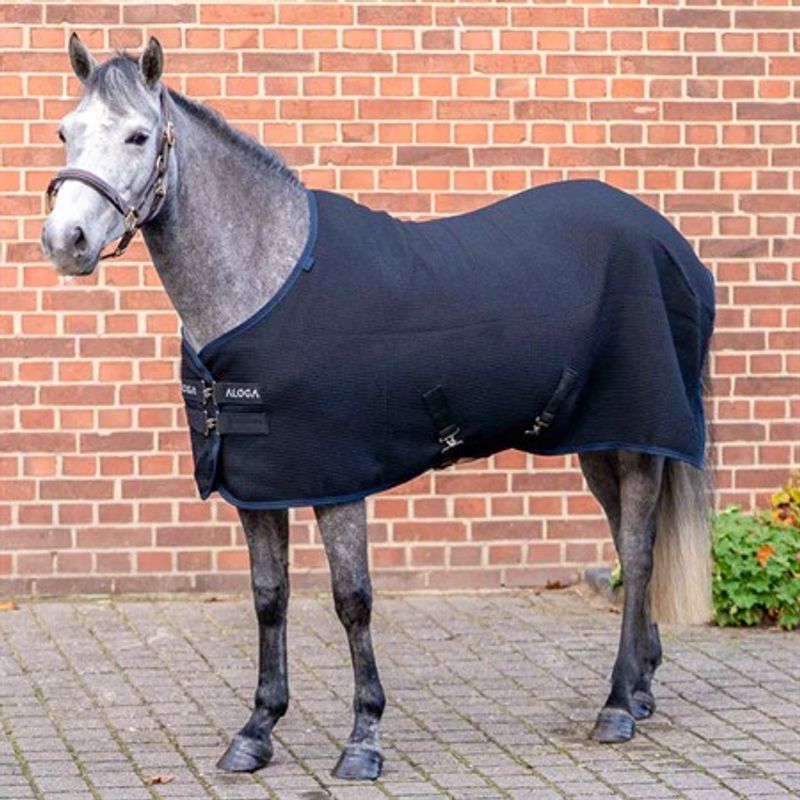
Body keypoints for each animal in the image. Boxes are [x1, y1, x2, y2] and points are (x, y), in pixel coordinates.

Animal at [41, 36, 714, 781]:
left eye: (138, 135)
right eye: (66, 131)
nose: (65, 240)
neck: (263, 280)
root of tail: (665, 238)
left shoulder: (338, 482)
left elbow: (352, 600)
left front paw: (363, 738)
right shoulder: (258, 485)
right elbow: (269, 598)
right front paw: (257, 730)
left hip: (639, 438)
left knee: (639, 553)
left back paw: (618, 704)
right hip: (598, 441)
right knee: (629, 540)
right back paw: (642, 688)